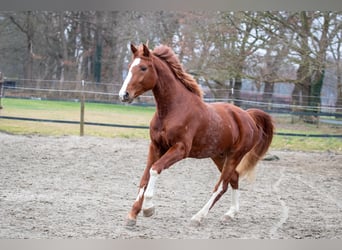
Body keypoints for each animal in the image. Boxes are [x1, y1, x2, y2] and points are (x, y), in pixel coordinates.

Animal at [119, 43, 274, 227]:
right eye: (129, 66)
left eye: (143, 68)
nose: (124, 95)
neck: (173, 110)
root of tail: (248, 116)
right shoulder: (155, 146)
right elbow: (145, 178)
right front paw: (132, 214)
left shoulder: (180, 149)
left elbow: (155, 170)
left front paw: (149, 209)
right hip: (219, 156)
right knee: (234, 178)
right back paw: (230, 214)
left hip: (235, 155)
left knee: (221, 186)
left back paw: (198, 217)